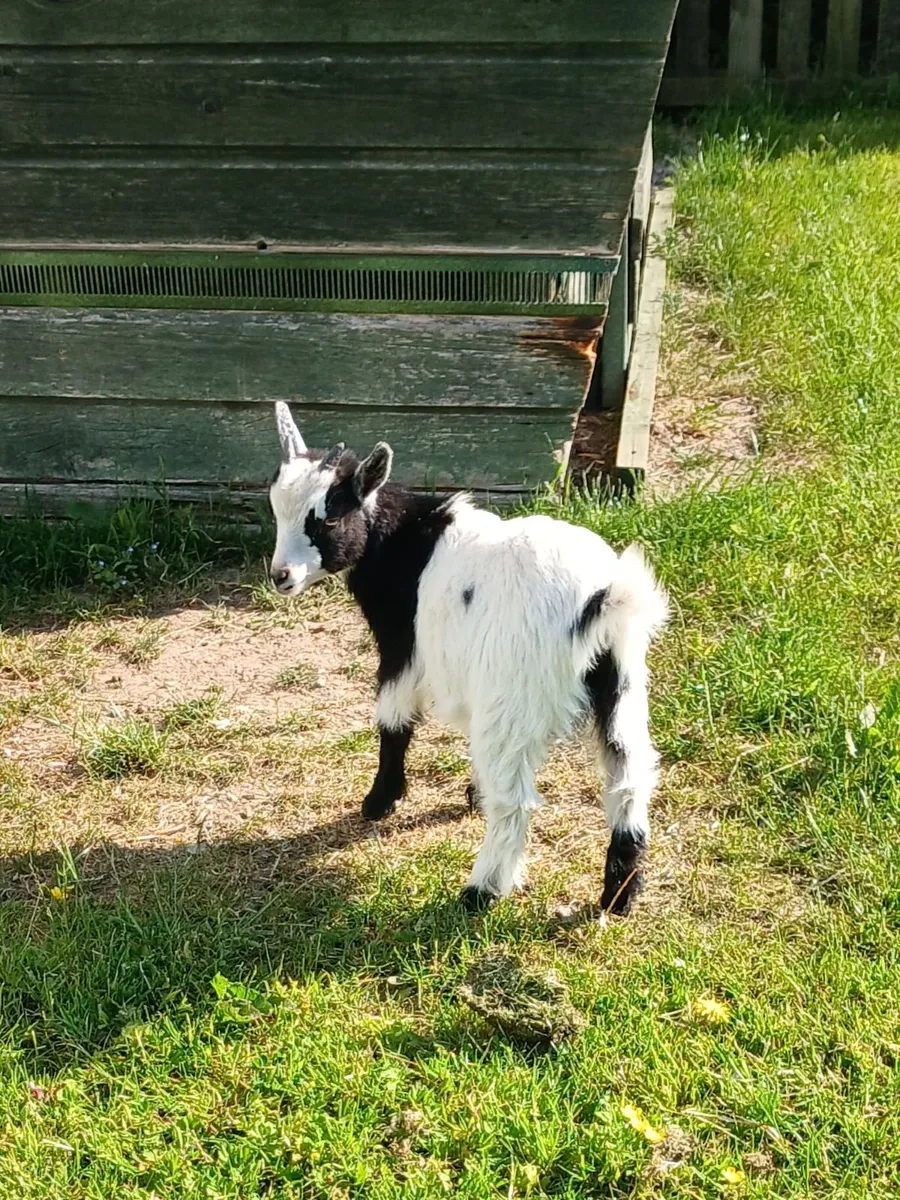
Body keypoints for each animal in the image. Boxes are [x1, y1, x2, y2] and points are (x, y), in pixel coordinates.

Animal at [268, 402, 668, 914]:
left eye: (327, 521)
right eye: (277, 510)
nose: (281, 576)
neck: (403, 544)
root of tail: (600, 600)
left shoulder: (403, 647)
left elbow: (393, 719)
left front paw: (380, 801)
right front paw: (469, 793)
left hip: (514, 696)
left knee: (515, 799)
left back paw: (481, 891)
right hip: (622, 688)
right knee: (629, 778)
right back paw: (619, 895)